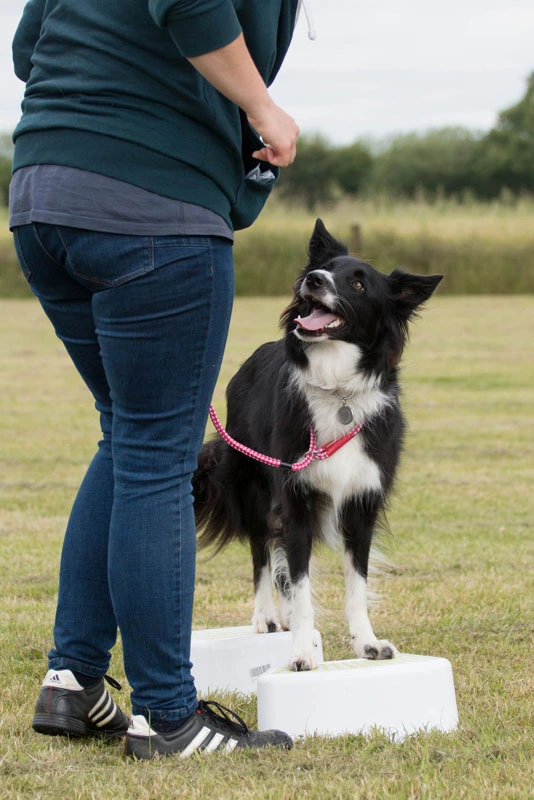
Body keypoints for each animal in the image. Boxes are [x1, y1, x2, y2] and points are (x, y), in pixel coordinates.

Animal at [193, 217, 444, 668]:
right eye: (325, 269)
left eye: (358, 284)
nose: (313, 280)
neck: (337, 386)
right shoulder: (294, 499)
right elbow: (299, 581)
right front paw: (300, 653)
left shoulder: (362, 502)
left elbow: (355, 584)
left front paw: (367, 644)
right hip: (252, 484)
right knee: (261, 554)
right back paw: (267, 616)